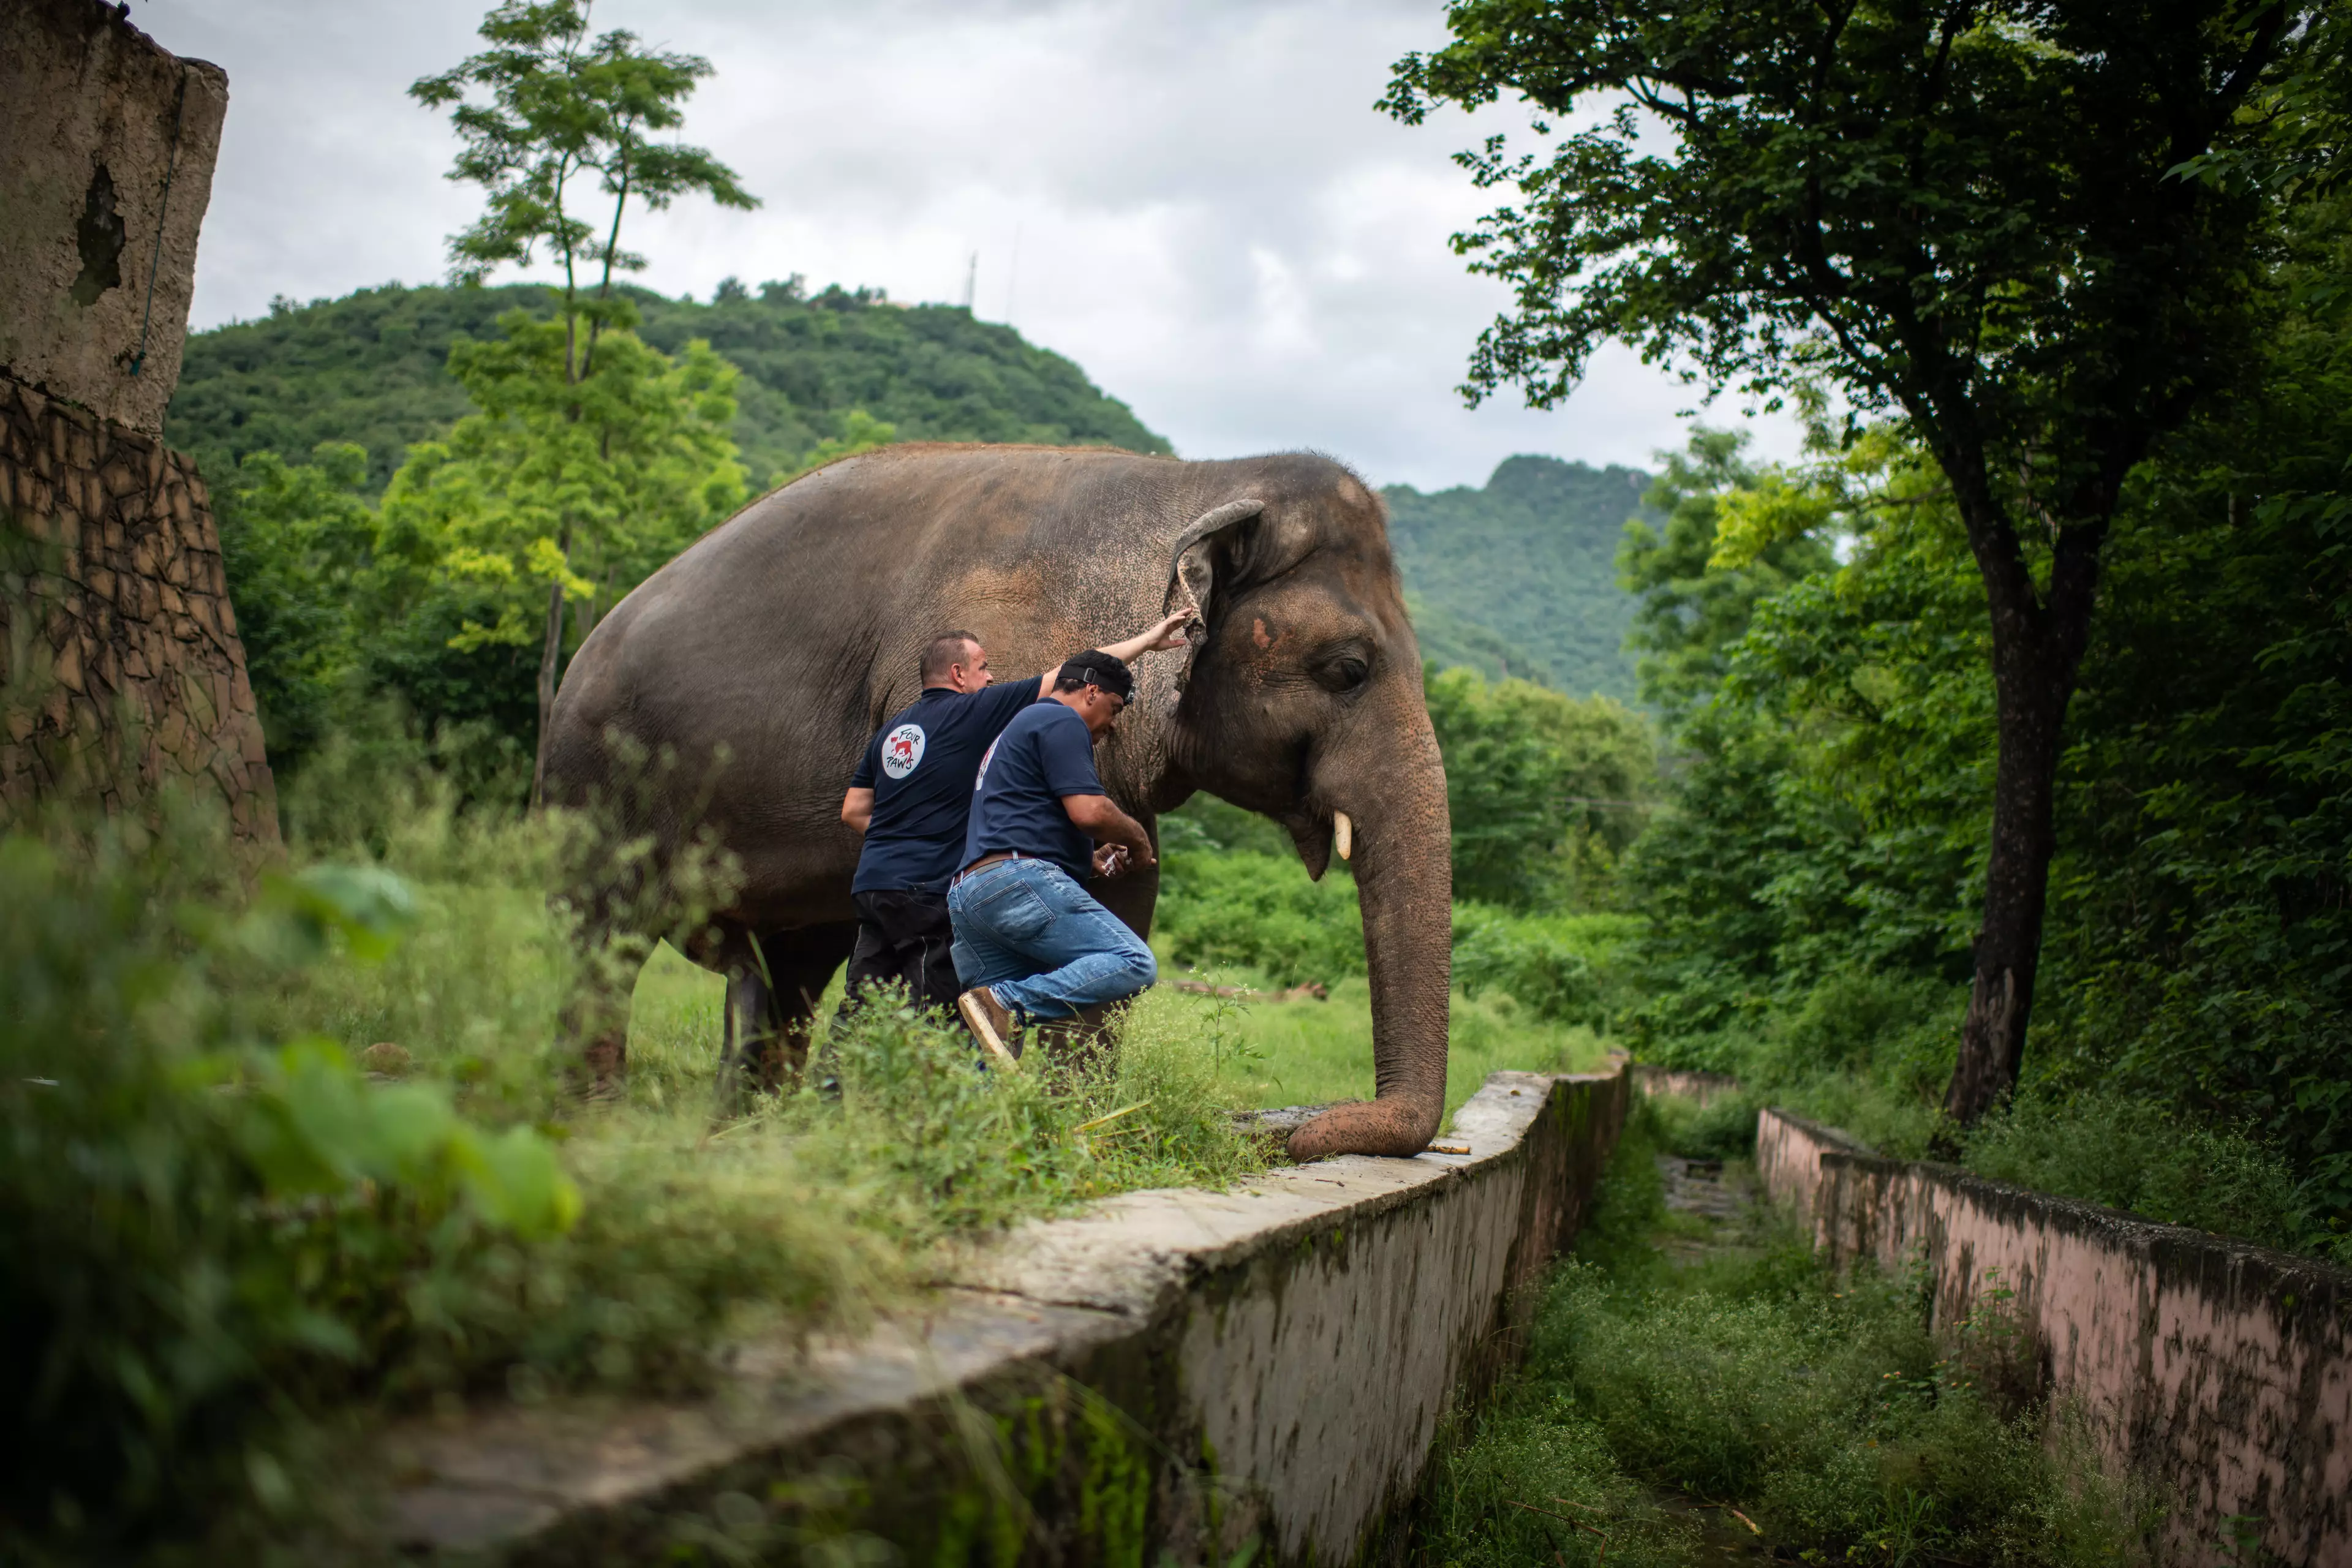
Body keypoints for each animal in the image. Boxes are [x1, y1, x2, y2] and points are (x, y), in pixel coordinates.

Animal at [543, 442, 1449, 1166]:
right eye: (1348, 669)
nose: (1300, 1133)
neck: (1200, 480)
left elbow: (1126, 893)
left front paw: (1075, 1126)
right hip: (592, 779)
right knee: (606, 936)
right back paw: (598, 1122)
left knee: (787, 969)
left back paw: (749, 1131)